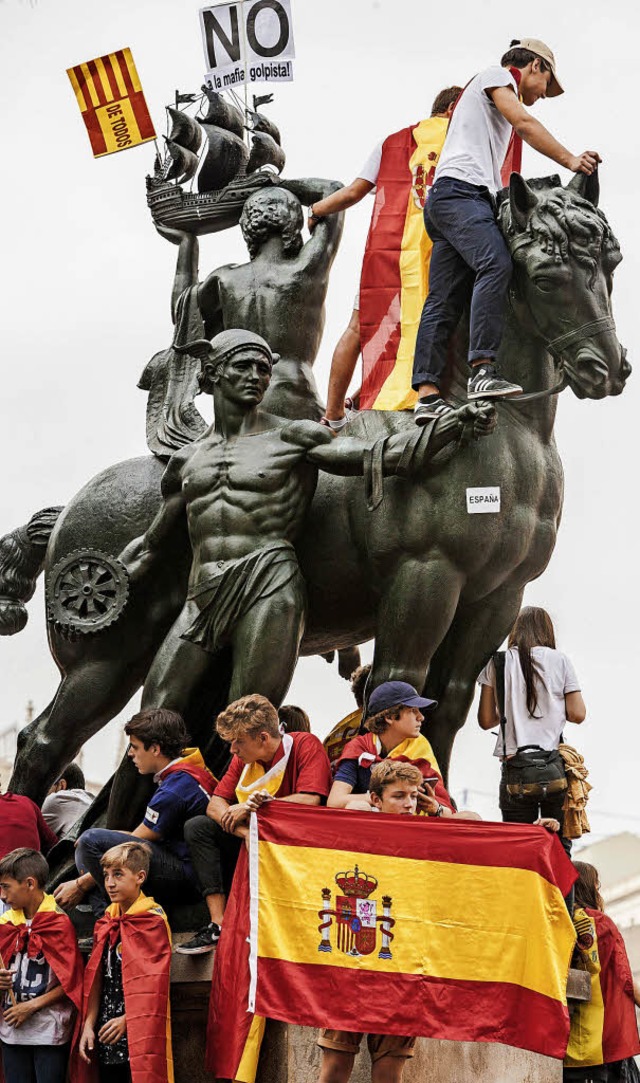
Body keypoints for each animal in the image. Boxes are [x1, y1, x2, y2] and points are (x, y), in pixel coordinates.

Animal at [2, 171, 628, 814]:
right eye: (548, 277)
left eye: (611, 265)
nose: (609, 369)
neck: (506, 442)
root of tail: (71, 508)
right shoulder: (425, 577)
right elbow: (400, 683)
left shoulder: (498, 595)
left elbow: (447, 703)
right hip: (108, 654)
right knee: (47, 739)